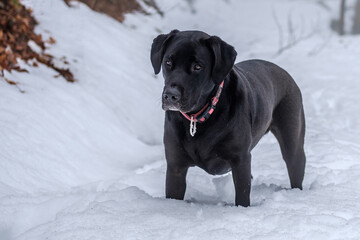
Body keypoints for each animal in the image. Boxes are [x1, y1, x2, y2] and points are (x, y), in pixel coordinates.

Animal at [150, 29, 306, 206]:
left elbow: (242, 197)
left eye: (198, 66)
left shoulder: (240, 160)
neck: (199, 118)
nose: (171, 95)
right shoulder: (175, 166)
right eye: (168, 62)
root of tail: (284, 73)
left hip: (292, 143)